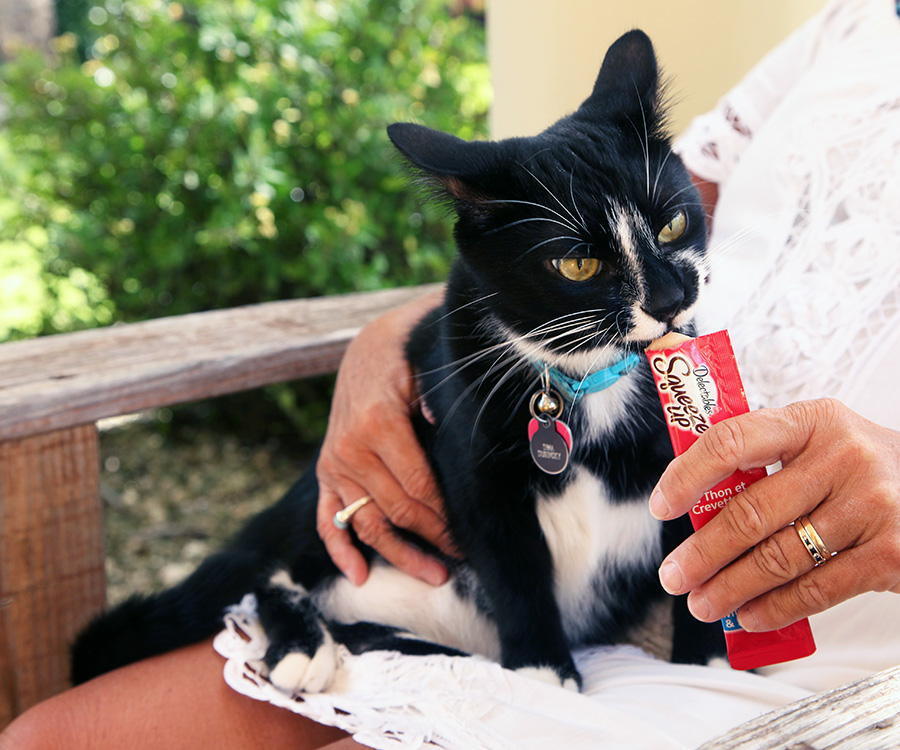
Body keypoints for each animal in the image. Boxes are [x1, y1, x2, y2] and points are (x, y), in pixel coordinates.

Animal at [74, 30, 728, 700]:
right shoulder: (472, 464)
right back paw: (302, 642)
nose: (670, 299)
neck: (586, 377)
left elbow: (701, 543)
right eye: (578, 265)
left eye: (675, 222)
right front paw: (544, 673)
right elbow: (515, 572)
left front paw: (709, 661)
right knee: (268, 575)